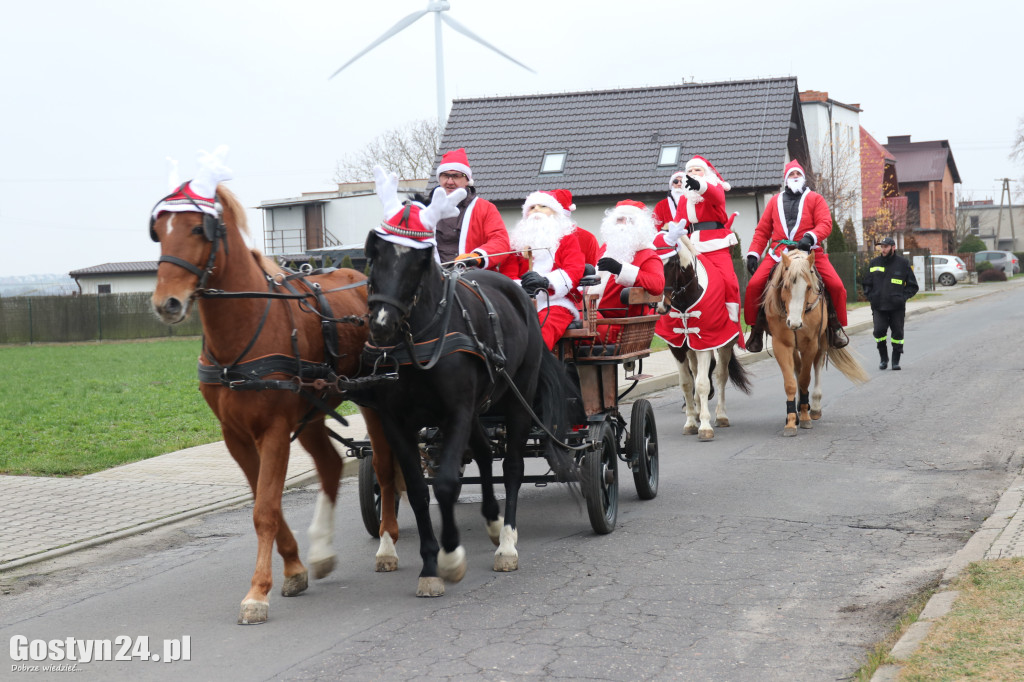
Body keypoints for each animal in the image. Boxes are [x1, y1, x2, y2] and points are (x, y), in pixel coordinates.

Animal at [149, 180, 397, 622]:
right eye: (159, 232)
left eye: (197, 229)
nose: (167, 303)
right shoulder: (236, 436)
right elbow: (269, 504)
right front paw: (295, 569)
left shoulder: (275, 430)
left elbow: (265, 509)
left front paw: (257, 592)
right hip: (313, 411)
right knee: (331, 467)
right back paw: (322, 550)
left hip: (373, 400)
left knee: (384, 469)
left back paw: (388, 545)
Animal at [655, 231, 753, 438]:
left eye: (672, 263)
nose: (660, 305)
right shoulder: (677, 346)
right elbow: (686, 383)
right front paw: (691, 421)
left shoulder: (705, 344)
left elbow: (702, 383)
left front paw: (705, 426)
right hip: (690, 347)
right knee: (694, 371)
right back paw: (699, 410)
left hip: (723, 345)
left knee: (721, 374)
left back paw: (721, 415)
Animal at [765, 249, 868, 436]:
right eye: (785, 286)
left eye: (808, 287)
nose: (795, 323)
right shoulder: (782, 345)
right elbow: (791, 383)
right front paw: (791, 420)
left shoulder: (811, 343)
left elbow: (805, 379)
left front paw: (805, 415)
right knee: (798, 369)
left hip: (821, 342)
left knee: (817, 366)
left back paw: (814, 407)